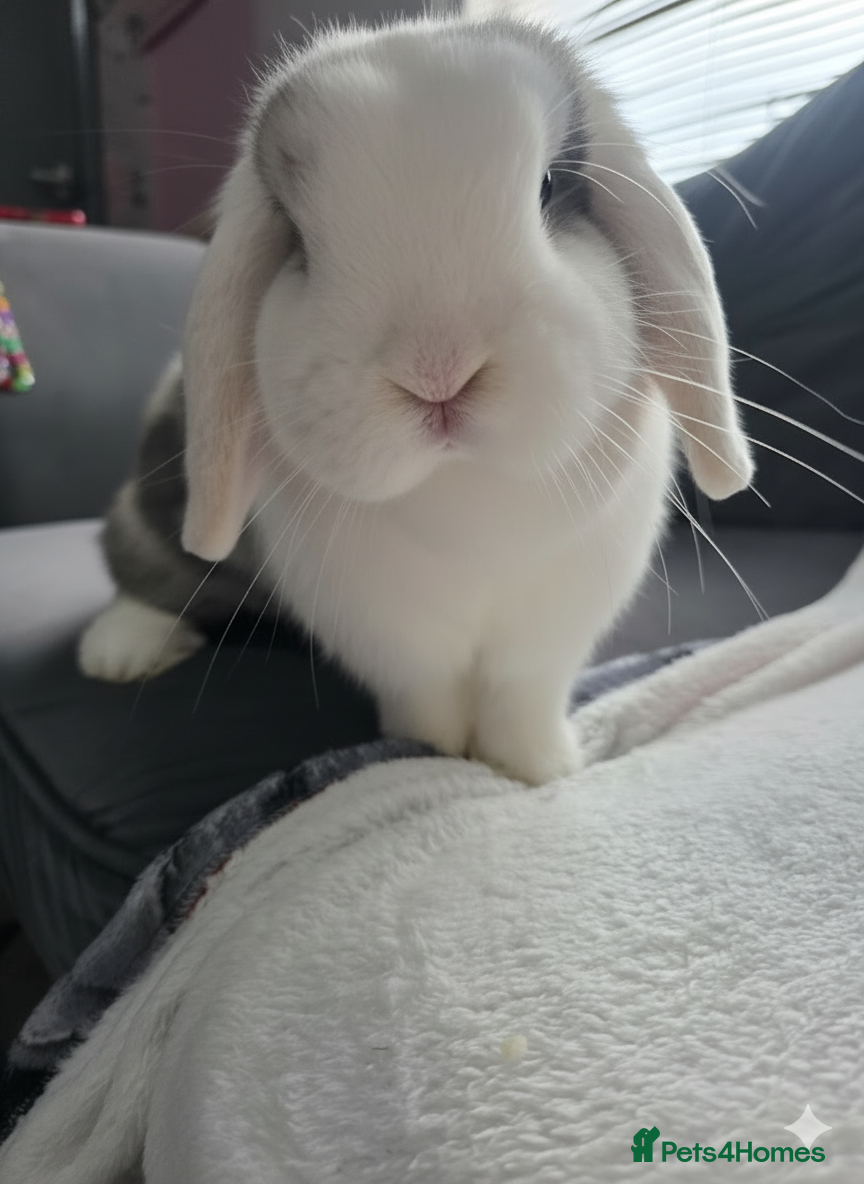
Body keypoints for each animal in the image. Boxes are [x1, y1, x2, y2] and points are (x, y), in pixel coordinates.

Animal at [78, 14, 753, 785]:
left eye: (550, 189)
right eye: (298, 238)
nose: (438, 371)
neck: (466, 494)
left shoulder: (550, 631)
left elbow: (522, 703)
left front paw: (543, 770)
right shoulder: (391, 639)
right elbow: (428, 703)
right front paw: (434, 758)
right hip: (152, 509)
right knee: (141, 571)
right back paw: (119, 654)